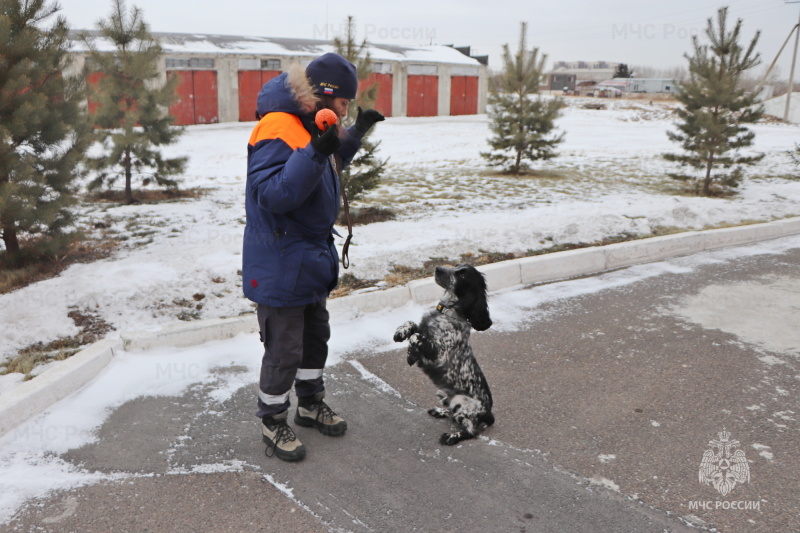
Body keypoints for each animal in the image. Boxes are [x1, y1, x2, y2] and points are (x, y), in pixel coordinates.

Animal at [394, 262, 494, 444]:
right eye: (456, 266)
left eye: (462, 275)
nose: (438, 269)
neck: (448, 312)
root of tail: (489, 413)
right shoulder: (424, 332)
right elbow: (412, 325)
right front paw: (400, 332)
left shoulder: (439, 354)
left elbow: (416, 336)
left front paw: (410, 353)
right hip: (443, 394)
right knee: (452, 415)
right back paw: (440, 411)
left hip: (461, 402)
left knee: (470, 430)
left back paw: (452, 436)